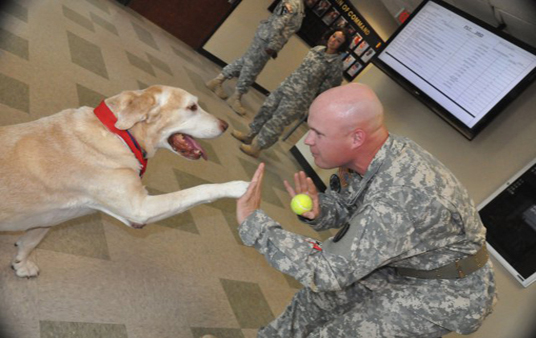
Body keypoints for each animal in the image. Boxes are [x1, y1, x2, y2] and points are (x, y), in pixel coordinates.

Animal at [0, 84, 250, 278]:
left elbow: (32, 239)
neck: (119, 134)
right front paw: (239, 187)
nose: (226, 126)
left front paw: (22, 263)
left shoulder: (47, 219)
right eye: (192, 107)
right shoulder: (140, 209)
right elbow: (199, 190)